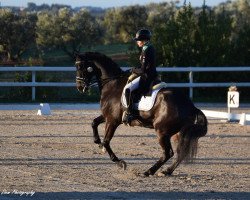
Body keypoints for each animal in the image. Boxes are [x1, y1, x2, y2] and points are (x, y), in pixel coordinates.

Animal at [75, 52, 208, 177]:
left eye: (80, 66)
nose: (80, 87)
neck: (112, 83)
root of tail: (191, 106)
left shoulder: (112, 120)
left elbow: (107, 141)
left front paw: (120, 163)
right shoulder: (108, 116)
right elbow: (94, 123)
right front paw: (97, 142)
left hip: (162, 131)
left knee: (168, 153)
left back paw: (148, 172)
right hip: (178, 132)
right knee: (180, 152)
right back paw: (166, 171)